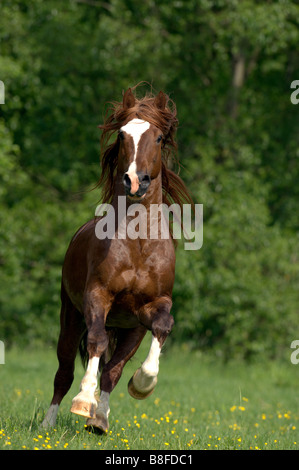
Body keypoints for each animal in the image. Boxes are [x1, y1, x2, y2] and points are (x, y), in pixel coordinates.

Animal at [41, 86, 193, 432]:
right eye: (122, 135)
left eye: (160, 137)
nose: (136, 181)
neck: (138, 245)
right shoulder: (97, 295)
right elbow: (96, 342)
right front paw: (83, 400)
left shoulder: (153, 306)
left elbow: (163, 327)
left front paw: (143, 384)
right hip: (70, 314)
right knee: (64, 370)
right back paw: (48, 423)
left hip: (130, 329)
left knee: (112, 369)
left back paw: (99, 422)